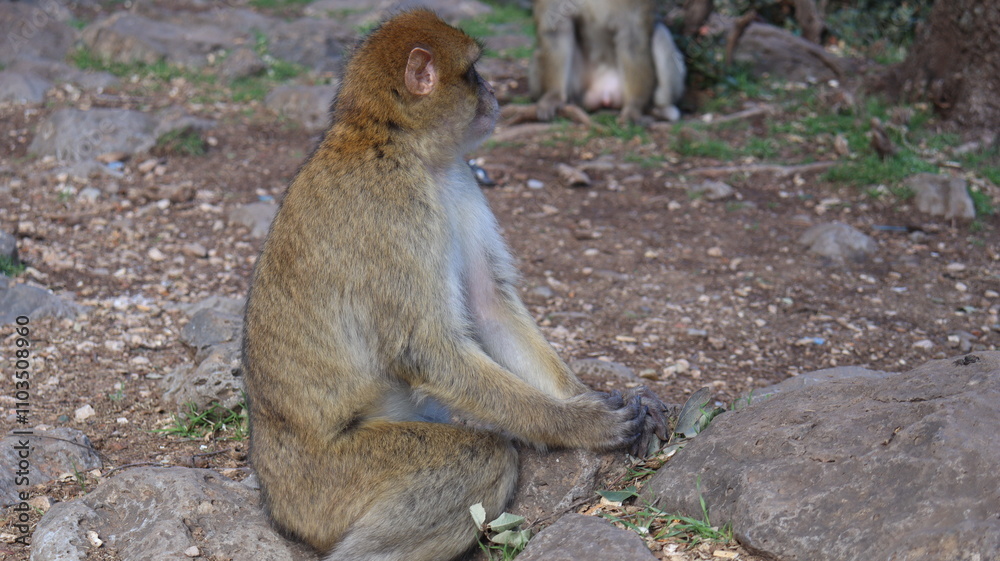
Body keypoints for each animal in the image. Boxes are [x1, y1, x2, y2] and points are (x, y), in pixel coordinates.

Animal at [241, 10, 669, 561]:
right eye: (473, 72)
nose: (494, 93)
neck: (397, 139)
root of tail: (271, 489)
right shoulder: (395, 207)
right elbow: (425, 348)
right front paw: (578, 425)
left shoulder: (457, 178)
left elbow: (489, 305)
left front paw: (590, 397)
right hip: (327, 485)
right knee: (481, 458)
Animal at [530, 0, 687, 125]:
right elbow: (555, 28)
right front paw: (553, 96)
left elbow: (632, 36)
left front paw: (633, 107)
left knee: (660, 35)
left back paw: (659, 110)